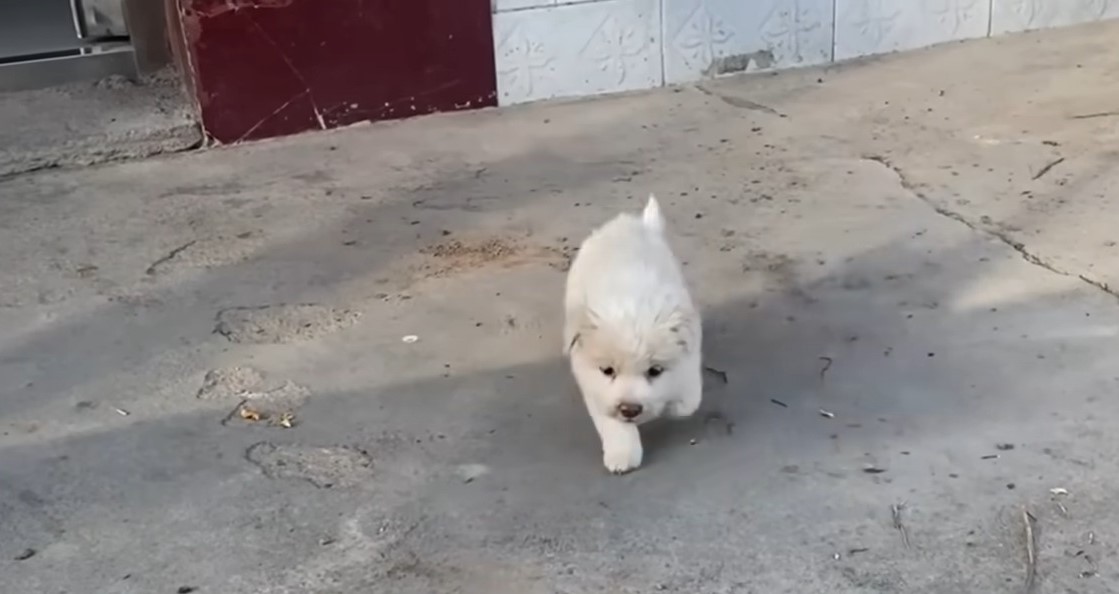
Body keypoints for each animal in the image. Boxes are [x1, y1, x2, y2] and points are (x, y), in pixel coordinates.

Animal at [563, 195, 702, 474]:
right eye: (607, 370)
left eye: (654, 370)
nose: (630, 410)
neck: (631, 305)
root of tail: (627, 223)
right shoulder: (593, 383)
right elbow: (612, 421)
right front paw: (622, 455)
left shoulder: (689, 350)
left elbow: (687, 399)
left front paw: (673, 405)